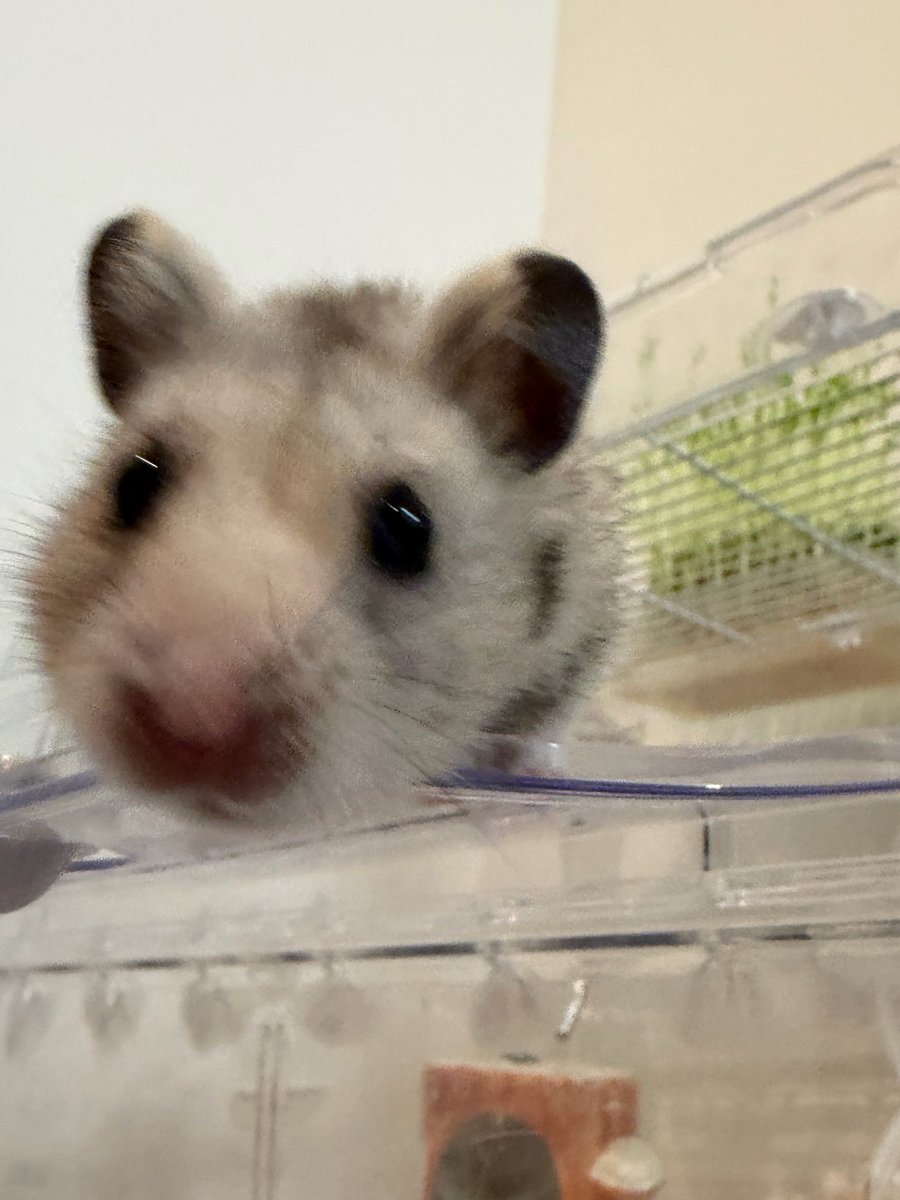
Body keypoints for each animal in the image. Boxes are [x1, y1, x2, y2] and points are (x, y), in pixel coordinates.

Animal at [26, 212, 626, 824]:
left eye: (408, 526)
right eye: (134, 484)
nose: (192, 732)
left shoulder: (594, 614)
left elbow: (546, 718)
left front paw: (527, 775)